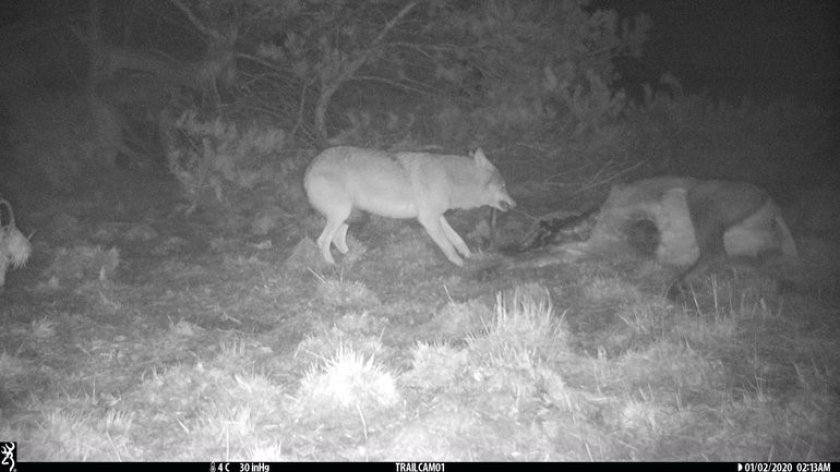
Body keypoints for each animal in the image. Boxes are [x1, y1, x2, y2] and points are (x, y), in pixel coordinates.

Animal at [303, 146, 516, 266]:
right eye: (504, 186)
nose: (515, 205)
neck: (450, 178)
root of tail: (309, 168)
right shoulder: (428, 220)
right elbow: (447, 245)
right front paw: (458, 263)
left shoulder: (437, 216)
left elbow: (457, 238)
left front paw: (468, 254)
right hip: (341, 213)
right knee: (322, 241)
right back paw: (332, 266)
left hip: (347, 215)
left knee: (338, 239)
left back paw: (352, 258)